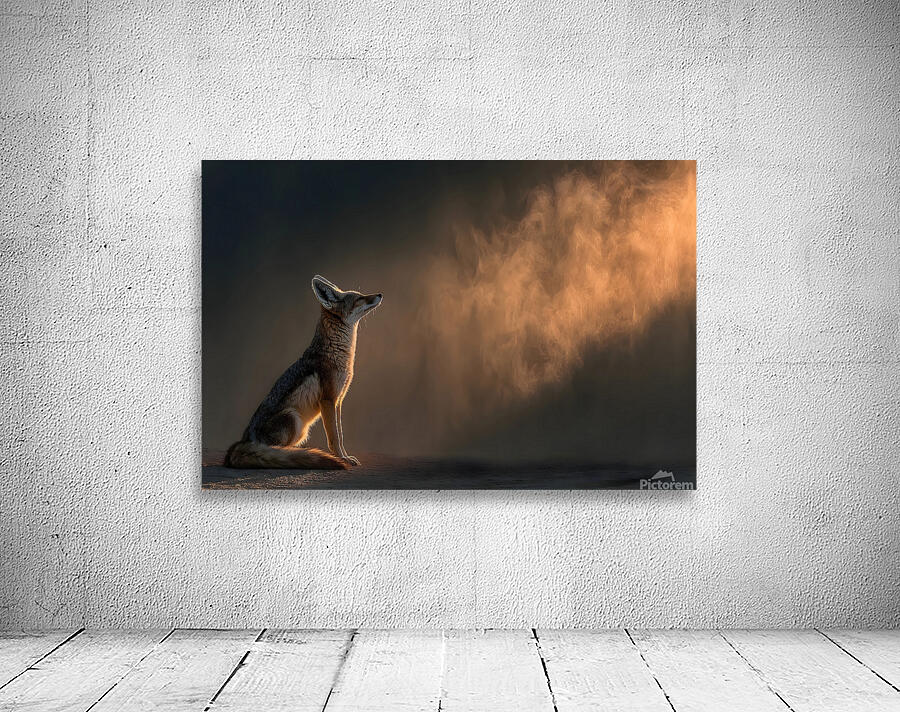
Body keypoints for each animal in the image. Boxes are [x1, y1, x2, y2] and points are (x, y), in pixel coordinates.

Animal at [224, 275, 383, 470]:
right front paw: (341, 458)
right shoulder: (328, 399)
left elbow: (340, 435)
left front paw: (345, 456)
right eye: (359, 298)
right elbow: (334, 438)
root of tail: (243, 441)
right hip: (293, 418)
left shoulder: (338, 400)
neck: (337, 353)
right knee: (277, 450)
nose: (380, 294)